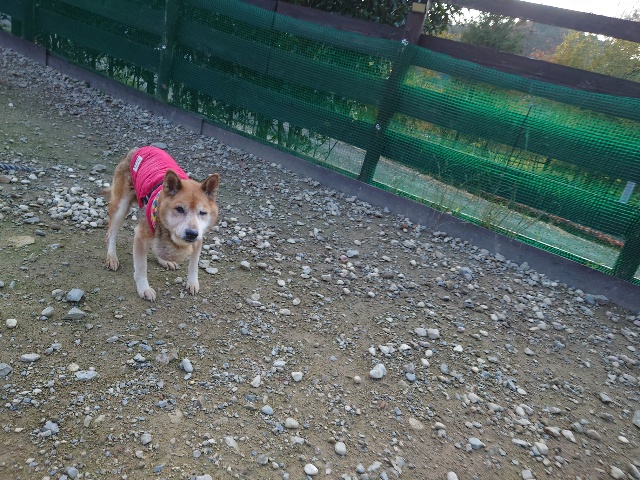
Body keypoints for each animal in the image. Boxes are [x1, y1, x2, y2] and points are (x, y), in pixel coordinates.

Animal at [105, 146, 220, 301]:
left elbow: (194, 265)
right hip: (121, 207)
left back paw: (164, 260)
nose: (191, 233)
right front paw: (144, 288)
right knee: (111, 234)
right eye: (179, 209)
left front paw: (192, 283)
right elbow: (141, 267)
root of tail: (137, 149)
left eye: (202, 213)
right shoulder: (140, 236)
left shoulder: (199, 238)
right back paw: (112, 257)